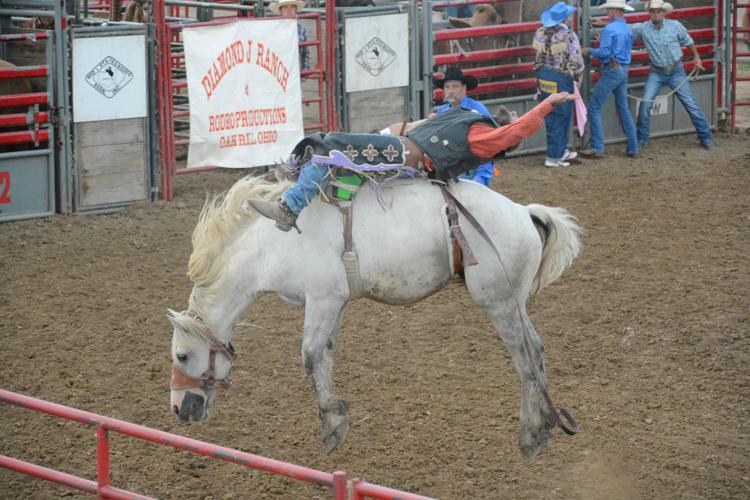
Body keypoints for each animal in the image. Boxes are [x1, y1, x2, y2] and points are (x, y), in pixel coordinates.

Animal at [167, 174, 584, 458]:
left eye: (182, 356)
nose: (178, 409)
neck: (271, 246)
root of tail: (524, 212)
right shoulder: (333, 302)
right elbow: (325, 356)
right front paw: (335, 418)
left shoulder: (321, 298)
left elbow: (310, 356)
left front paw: (333, 424)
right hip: (513, 301)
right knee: (537, 351)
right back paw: (543, 429)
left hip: (497, 300)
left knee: (524, 356)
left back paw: (530, 434)